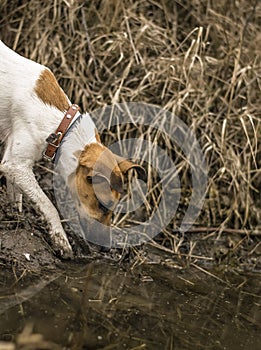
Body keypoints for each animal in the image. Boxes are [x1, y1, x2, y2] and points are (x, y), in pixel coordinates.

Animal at [0, 42, 144, 258]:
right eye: (102, 206)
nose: (106, 248)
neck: (62, 127)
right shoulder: (15, 165)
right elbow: (49, 205)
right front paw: (61, 240)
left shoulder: (14, 162)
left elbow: (16, 195)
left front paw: (14, 216)